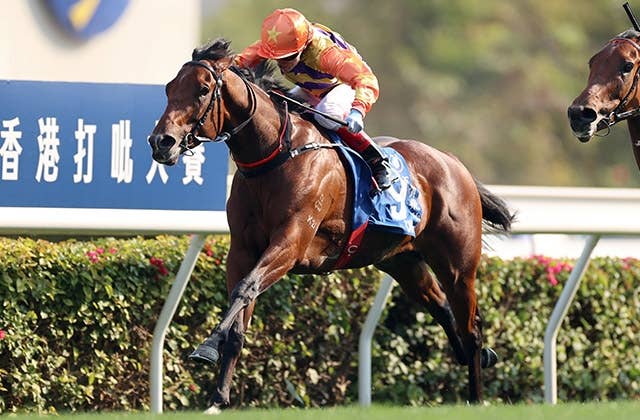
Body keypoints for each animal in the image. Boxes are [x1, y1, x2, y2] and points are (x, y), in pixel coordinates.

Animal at [148, 38, 514, 411]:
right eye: (169, 88)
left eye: (202, 90)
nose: (161, 141)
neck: (275, 154)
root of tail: (453, 162)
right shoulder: (242, 250)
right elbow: (239, 319)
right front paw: (218, 397)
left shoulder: (291, 243)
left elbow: (245, 288)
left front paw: (206, 347)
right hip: (402, 262)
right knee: (442, 308)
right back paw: (477, 358)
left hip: (458, 265)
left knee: (470, 326)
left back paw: (476, 394)